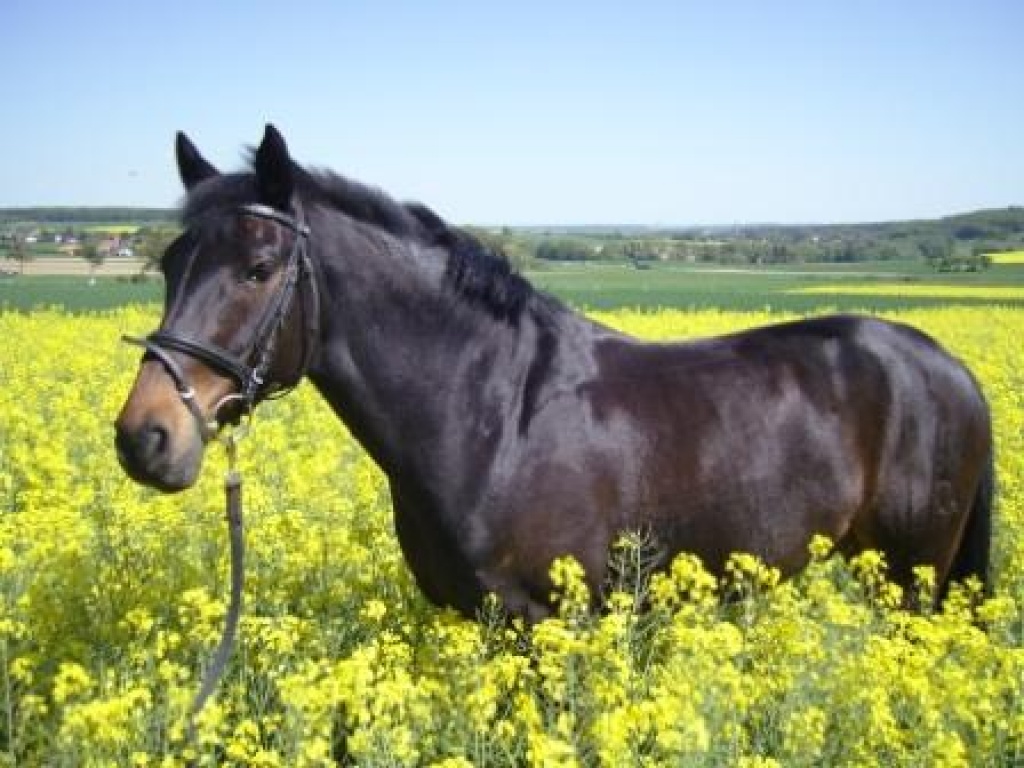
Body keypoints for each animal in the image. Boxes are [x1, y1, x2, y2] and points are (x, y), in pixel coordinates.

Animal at [115, 125, 994, 621]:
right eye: (169, 262)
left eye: (259, 267)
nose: (144, 437)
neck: (491, 416)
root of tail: (945, 364)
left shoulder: (545, 619)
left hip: (914, 577)